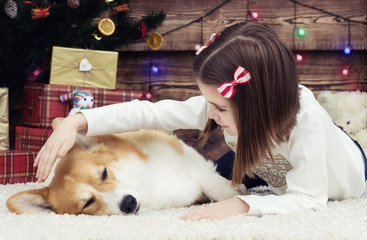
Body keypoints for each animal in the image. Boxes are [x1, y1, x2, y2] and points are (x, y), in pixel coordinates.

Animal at [6, 126, 247, 215]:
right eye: (87, 203)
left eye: (104, 173)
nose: (128, 203)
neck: (148, 185)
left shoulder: (184, 156)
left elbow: (211, 182)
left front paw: (234, 194)